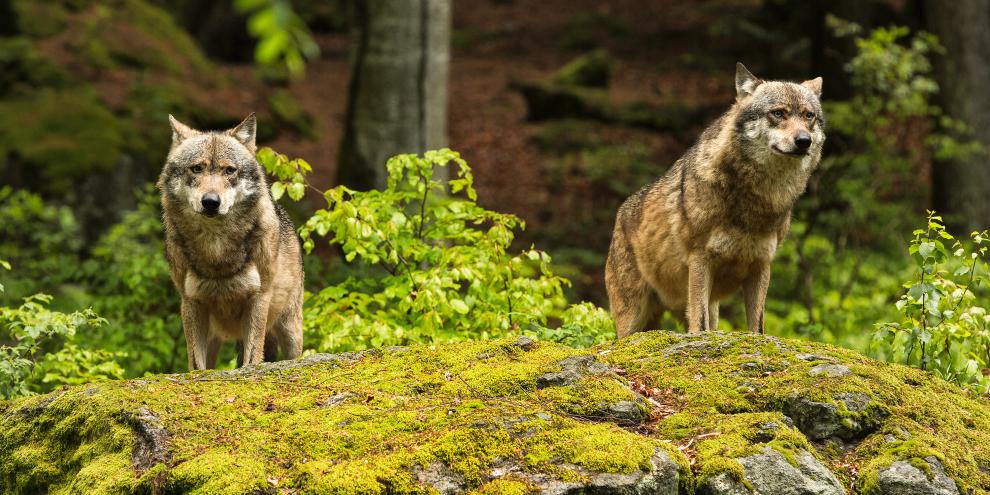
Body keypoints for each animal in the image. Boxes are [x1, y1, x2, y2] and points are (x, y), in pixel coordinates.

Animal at [158, 113, 303, 370]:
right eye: (197, 168)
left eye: (229, 170)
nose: (210, 202)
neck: (216, 248)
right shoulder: (190, 301)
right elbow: (196, 364)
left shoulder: (259, 298)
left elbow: (252, 358)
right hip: (214, 336)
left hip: (290, 331)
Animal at [605, 63, 825, 337]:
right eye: (778, 113)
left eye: (808, 116)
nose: (803, 141)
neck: (755, 201)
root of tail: (619, 215)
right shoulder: (700, 260)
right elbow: (699, 326)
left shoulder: (761, 265)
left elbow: (757, 327)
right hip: (632, 321)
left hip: (710, 309)